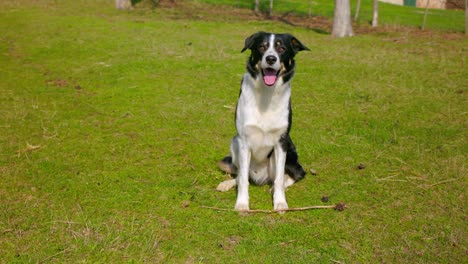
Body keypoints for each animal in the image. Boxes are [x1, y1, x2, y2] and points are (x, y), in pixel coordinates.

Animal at [217, 31, 310, 212]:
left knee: (295, 174)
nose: (271, 59)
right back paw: (227, 183)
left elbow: (280, 178)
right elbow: (243, 179)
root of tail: (260, 179)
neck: (267, 94)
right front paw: (242, 204)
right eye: (262, 47)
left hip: (288, 152)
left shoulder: (281, 142)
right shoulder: (244, 140)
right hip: (235, 142)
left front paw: (280, 203)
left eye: (281, 48)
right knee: (241, 175)